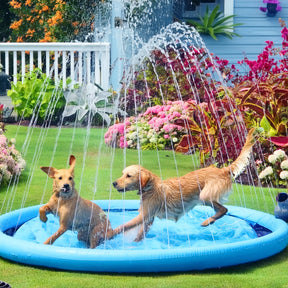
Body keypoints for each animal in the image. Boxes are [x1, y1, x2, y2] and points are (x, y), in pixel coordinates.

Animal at [112, 127, 264, 242]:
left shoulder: (144, 214)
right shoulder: (148, 218)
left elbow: (123, 226)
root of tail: (222, 169)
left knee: (224, 209)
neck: (150, 187)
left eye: (128, 176)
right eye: (122, 173)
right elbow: (139, 233)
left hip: (204, 195)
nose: (114, 183)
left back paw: (208, 221)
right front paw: (134, 245)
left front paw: (109, 235)